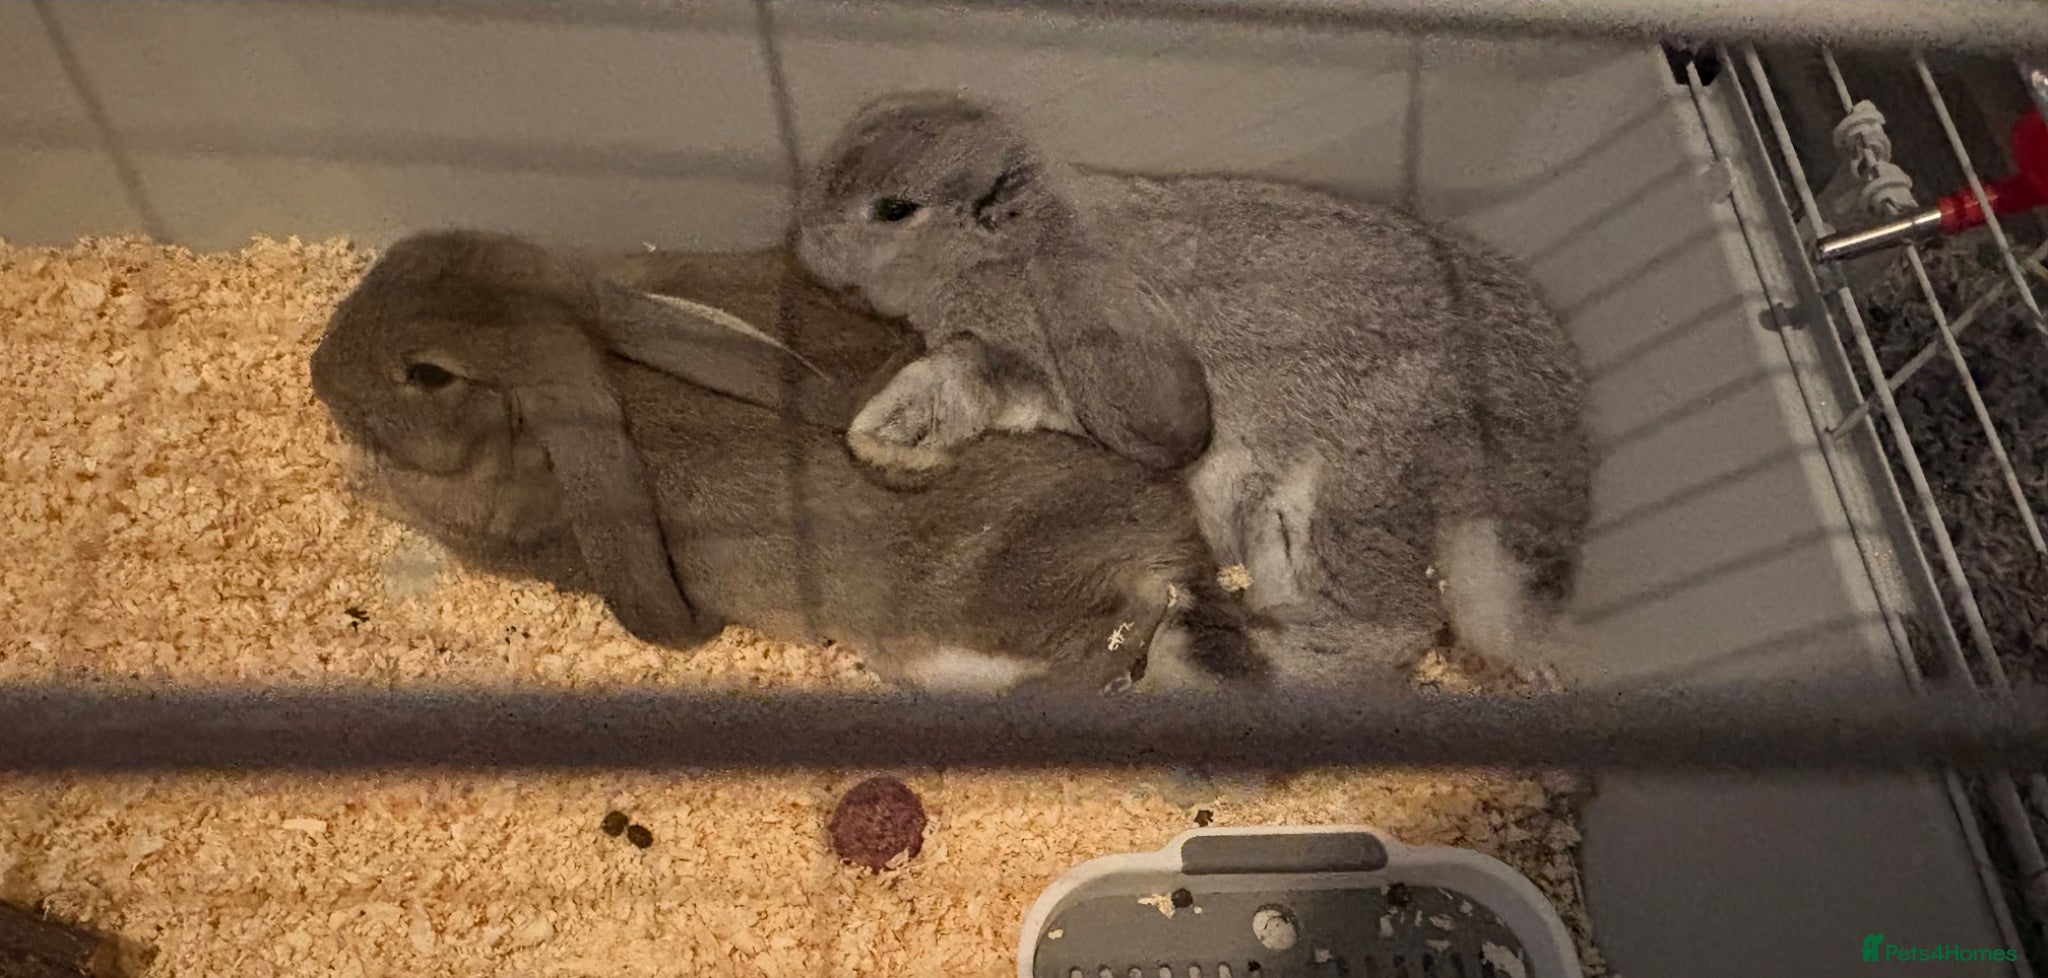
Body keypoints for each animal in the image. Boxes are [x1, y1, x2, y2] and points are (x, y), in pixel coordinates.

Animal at [793, 91, 1593, 686]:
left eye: (895, 209)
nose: (803, 241)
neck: (1014, 247)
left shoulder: (1025, 355)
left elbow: (968, 381)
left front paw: (886, 433)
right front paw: (888, 433)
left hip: (1348, 498)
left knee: (1386, 623)